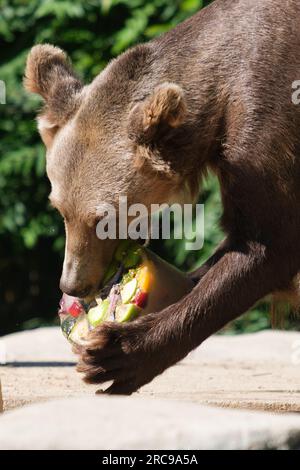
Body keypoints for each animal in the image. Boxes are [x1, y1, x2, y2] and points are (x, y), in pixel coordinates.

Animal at [24, 0, 300, 394]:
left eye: (104, 218)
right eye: (60, 210)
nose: (73, 283)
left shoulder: (266, 123)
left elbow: (269, 242)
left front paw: (115, 354)